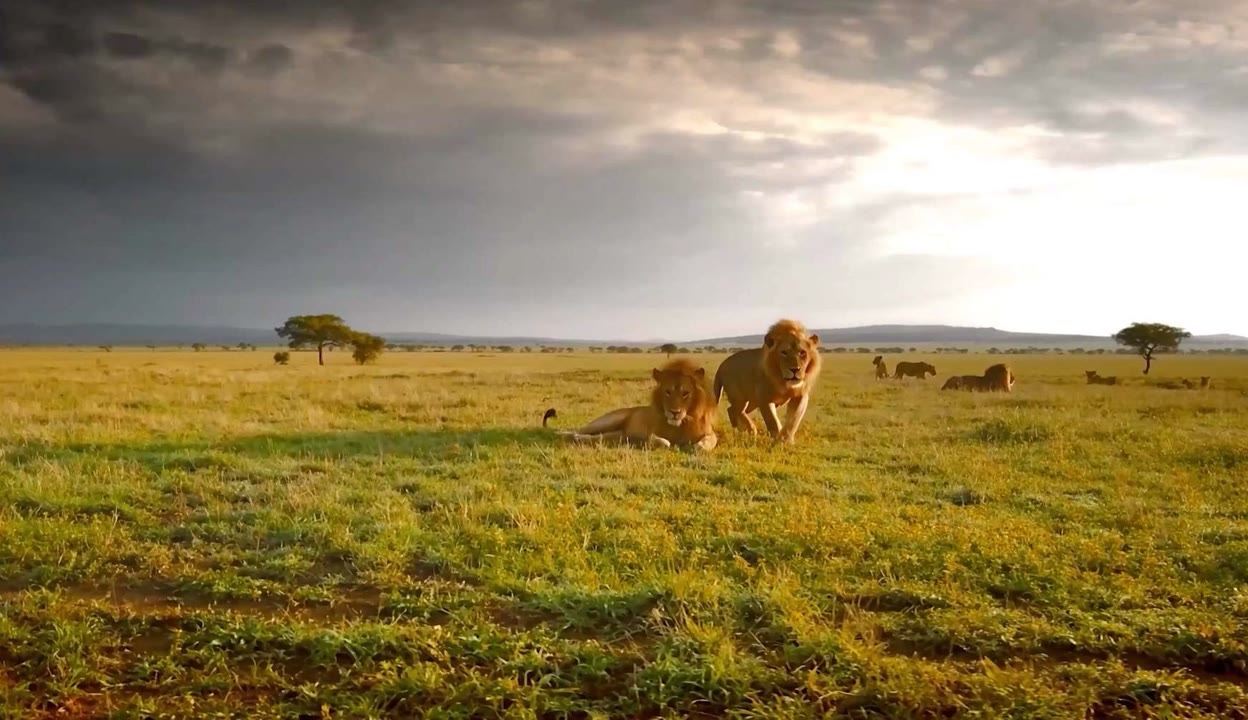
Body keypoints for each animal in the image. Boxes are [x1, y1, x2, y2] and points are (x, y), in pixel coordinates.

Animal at [541, 356, 718, 451]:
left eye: (685, 393)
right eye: (667, 392)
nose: (674, 412)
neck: (681, 424)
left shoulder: (709, 432)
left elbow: (708, 441)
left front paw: (697, 447)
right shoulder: (652, 434)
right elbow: (660, 442)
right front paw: (669, 444)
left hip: (616, 434)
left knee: (597, 437)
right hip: (608, 421)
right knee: (576, 430)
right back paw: (565, 434)